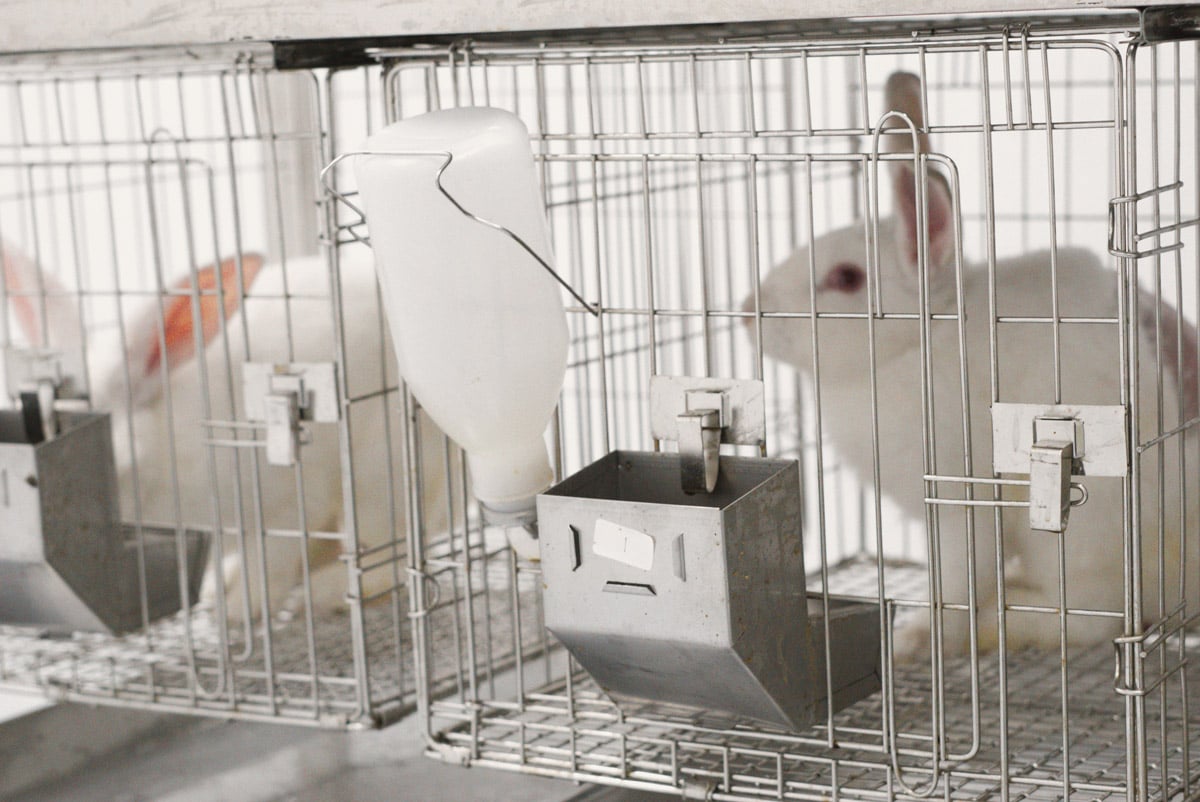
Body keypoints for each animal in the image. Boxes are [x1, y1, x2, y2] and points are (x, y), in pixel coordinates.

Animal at [2, 240, 456, 623]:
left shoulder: (286, 505)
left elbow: (270, 562)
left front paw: (236, 614)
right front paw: (222, 596)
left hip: (382, 478)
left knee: (386, 555)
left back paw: (322, 595)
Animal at [744, 71, 1199, 659]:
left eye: (845, 277)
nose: (747, 312)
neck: (920, 341)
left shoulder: (959, 501)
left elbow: (956, 585)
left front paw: (916, 641)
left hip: (1078, 535)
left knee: (1094, 619)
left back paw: (1000, 621)